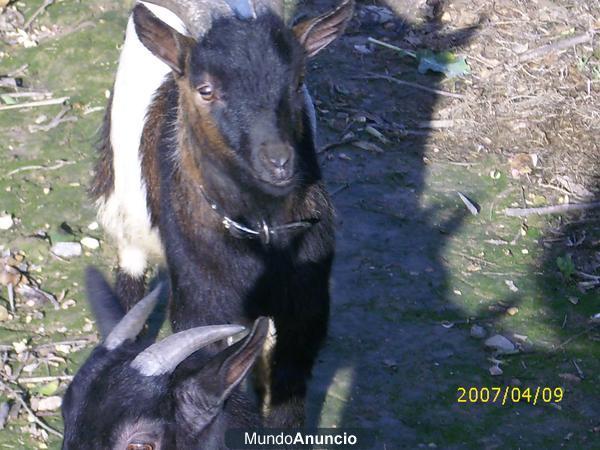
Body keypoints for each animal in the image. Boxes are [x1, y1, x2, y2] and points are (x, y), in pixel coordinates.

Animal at [92, 0, 354, 426]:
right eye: (206, 90)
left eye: (297, 81)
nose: (279, 162)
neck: (261, 231)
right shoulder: (202, 311)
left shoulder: (306, 311)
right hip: (127, 204)